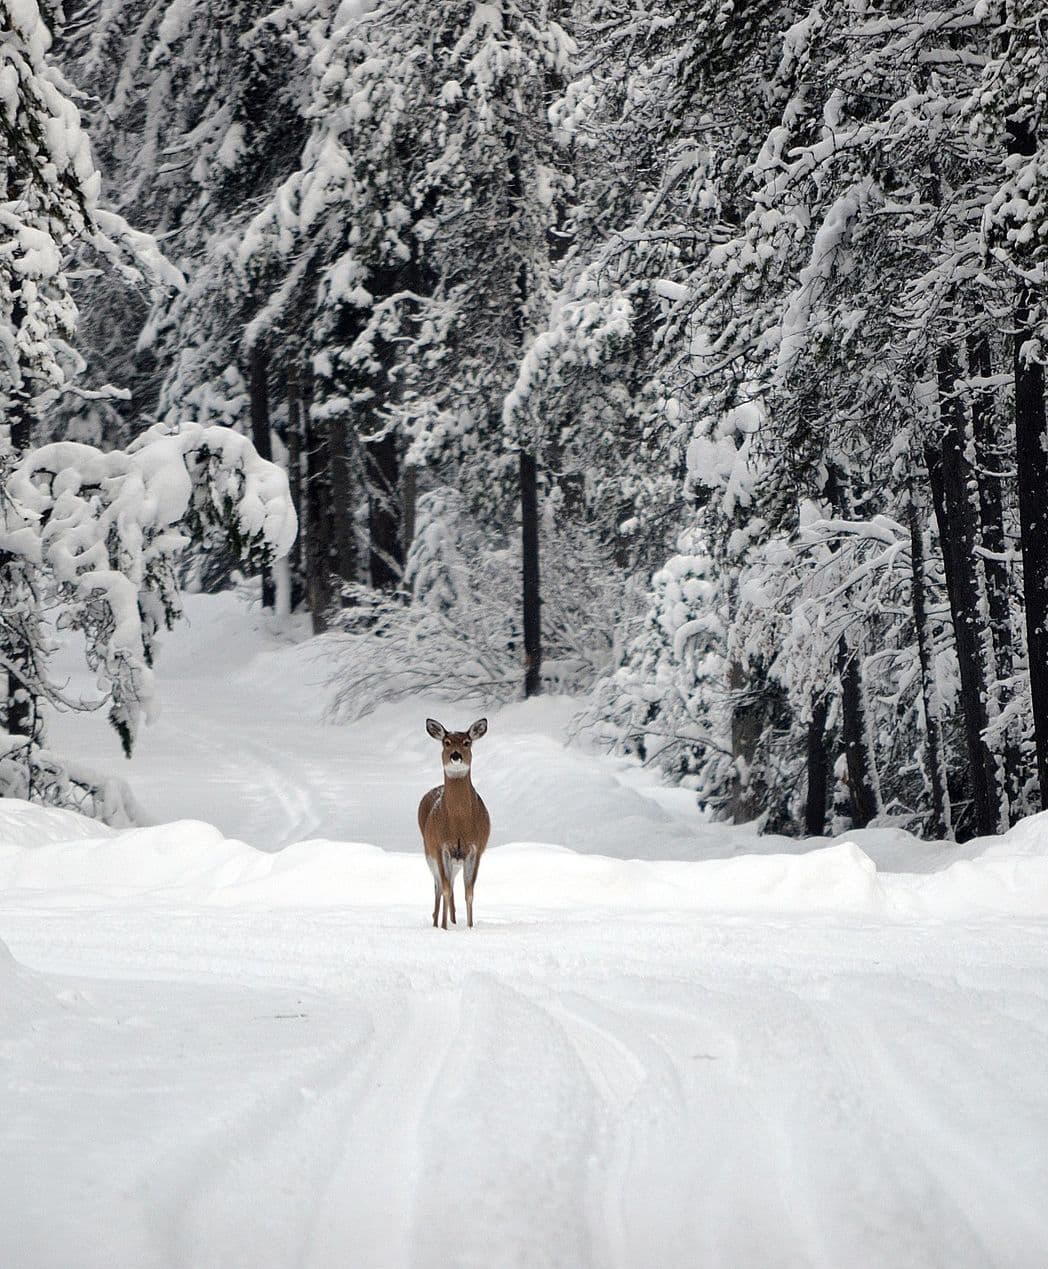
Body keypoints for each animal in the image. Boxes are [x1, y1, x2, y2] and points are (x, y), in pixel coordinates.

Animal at [416, 720, 489, 928]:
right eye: (446, 742)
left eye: (467, 742)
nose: (455, 755)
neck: (459, 823)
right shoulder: (441, 846)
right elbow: (446, 889)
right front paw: (443, 928)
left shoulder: (476, 848)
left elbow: (469, 891)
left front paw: (470, 927)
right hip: (429, 852)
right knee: (439, 886)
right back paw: (436, 922)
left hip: (456, 860)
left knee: (451, 885)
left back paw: (454, 920)